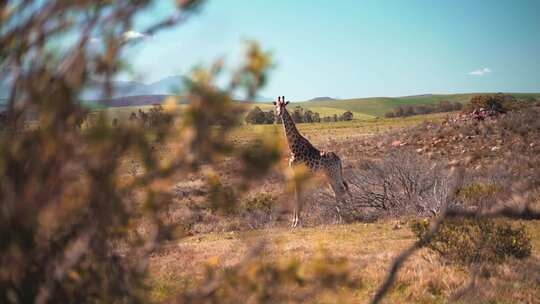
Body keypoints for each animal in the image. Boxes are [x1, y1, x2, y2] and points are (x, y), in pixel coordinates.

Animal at [272, 96, 352, 227]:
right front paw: (295, 221)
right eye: (276, 105)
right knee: (339, 191)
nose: (279, 113)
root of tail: (339, 160)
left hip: (332, 175)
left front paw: (296, 222)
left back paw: (344, 216)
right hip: (331, 176)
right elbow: (297, 196)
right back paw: (342, 217)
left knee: (340, 190)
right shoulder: (295, 174)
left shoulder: (297, 173)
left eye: (283, 105)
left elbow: (297, 196)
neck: (293, 147)